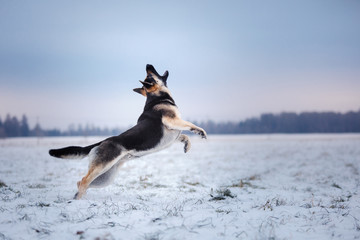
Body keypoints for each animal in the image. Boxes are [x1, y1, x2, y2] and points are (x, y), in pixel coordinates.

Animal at [48, 63, 207, 199]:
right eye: (150, 75)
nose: (148, 64)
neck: (157, 98)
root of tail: (101, 142)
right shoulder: (172, 121)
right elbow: (190, 125)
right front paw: (201, 132)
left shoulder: (174, 133)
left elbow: (184, 136)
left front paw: (187, 146)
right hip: (102, 167)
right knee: (82, 181)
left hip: (105, 177)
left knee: (81, 182)